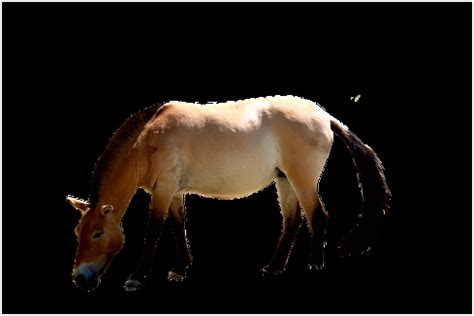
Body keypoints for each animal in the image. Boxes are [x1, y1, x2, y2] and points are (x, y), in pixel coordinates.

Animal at [66, 95, 392, 292]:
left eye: (97, 233)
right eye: (77, 233)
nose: (80, 279)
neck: (147, 140)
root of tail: (324, 116)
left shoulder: (164, 190)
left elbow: (154, 230)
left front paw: (136, 277)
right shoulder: (173, 192)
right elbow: (178, 226)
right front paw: (180, 269)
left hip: (302, 181)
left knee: (317, 216)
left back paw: (314, 264)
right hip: (285, 181)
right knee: (292, 221)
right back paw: (273, 268)